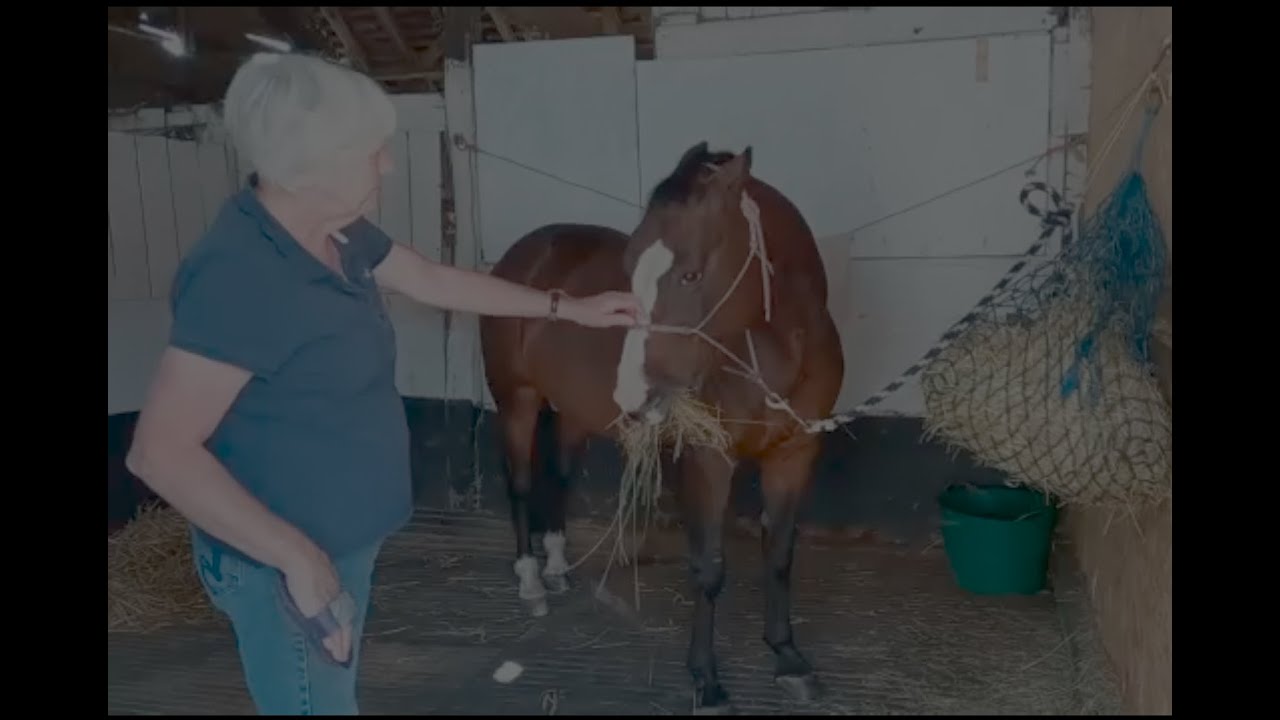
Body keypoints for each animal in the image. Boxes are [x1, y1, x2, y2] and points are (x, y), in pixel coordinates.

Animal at [479, 141, 845, 712]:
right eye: (630, 268)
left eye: (691, 274)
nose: (635, 392)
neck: (778, 353)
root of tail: (526, 252)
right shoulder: (709, 459)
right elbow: (709, 567)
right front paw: (707, 680)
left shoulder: (795, 454)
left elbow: (780, 556)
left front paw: (788, 658)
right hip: (516, 401)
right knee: (520, 485)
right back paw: (531, 582)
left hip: (571, 414)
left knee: (559, 477)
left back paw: (557, 568)